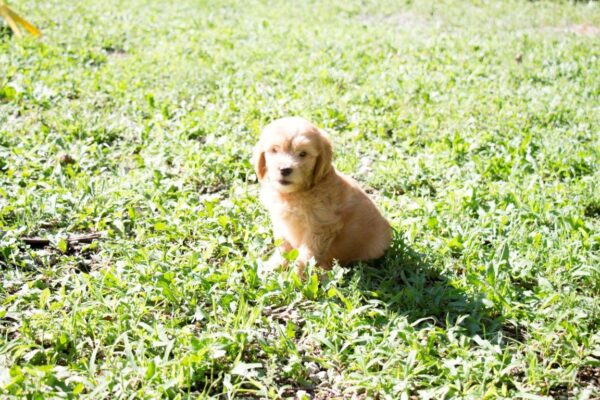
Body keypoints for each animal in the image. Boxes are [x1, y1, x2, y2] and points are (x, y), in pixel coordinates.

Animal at [254, 115, 392, 272]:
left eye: (302, 154)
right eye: (274, 150)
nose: (285, 169)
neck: (295, 193)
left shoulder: (322, 226)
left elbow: (308, 255)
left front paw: (297, 275)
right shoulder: (280, 221)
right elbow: (283, 246)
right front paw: (275, 265)